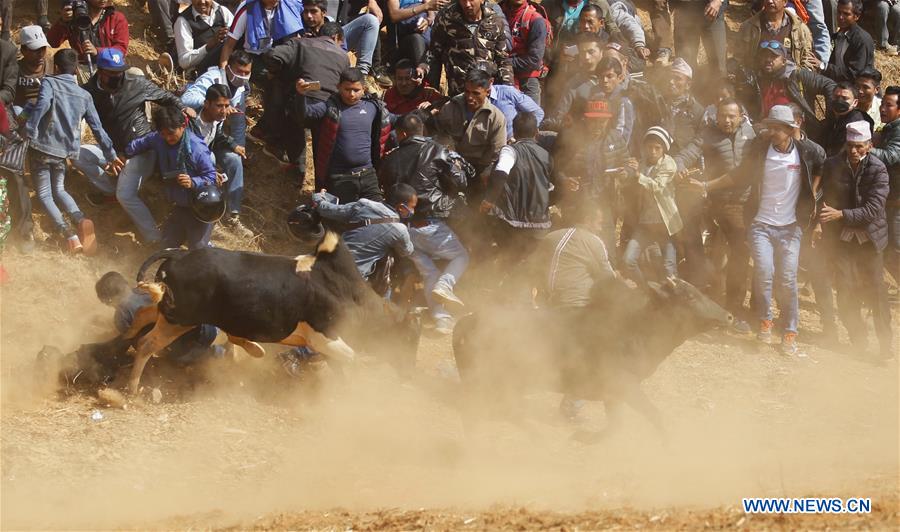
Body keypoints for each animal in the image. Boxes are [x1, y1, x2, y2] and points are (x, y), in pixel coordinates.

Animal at [121, 233, 424, 394]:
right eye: (410, 337)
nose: (411, 372)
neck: (352, 296)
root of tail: (179, 255)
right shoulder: (326, 339)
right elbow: (354, 361)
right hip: (180, 319)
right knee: (147, 344)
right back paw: (133, 387)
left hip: (170, 314)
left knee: (142, 316)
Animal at [454, 276, 736, 438]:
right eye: (690, 296)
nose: (729, 316)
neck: (636, 328)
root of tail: (468, 322)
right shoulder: (624, 385)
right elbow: (654, 416)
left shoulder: (614, 396)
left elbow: (615, 427)